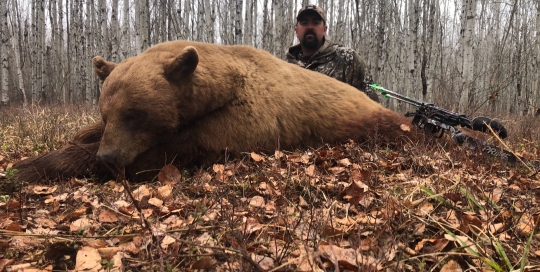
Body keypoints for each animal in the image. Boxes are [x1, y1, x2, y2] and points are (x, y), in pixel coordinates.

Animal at [12, 41, 418, 183]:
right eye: (106, 112)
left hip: (371, 121)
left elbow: (164, 154)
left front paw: (28, 167)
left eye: (135, 114)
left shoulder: (238, 124)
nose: (108, 157)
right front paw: (79, 139)